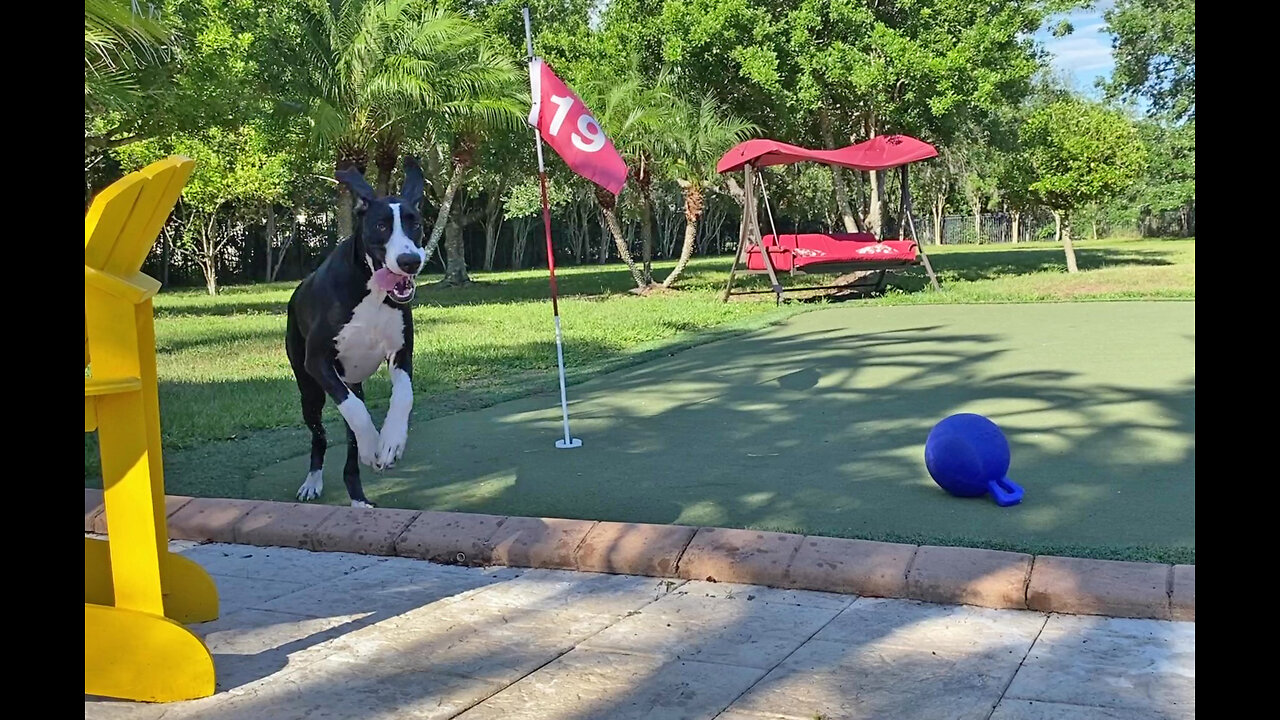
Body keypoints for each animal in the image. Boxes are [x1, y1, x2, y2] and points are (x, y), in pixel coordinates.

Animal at [286, 156, 430, 504]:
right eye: (381, 226)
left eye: (415, 223)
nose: (410, 260)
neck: (372, 291)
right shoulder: (318, 361)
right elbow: (353, 408)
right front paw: (371, 443)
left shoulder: (401, 353)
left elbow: (403, 396)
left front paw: (390, 441)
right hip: (309, 391)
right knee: (321, 434)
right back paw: (313, 481)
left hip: (352, 381)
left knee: (349, 451)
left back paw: (359, 498)